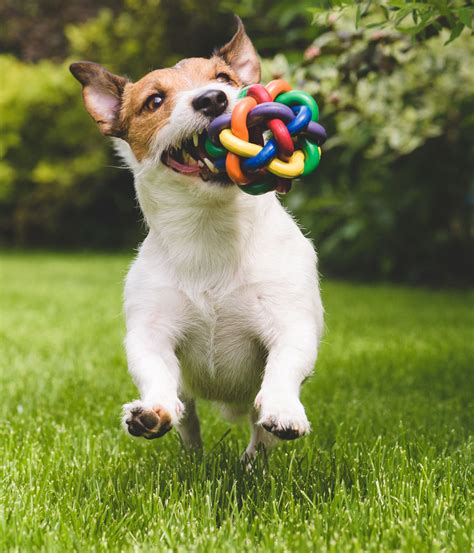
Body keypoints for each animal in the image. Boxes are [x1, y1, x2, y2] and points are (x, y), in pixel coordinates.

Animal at [70, 17, 324, 458]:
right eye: (154, 101)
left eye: (223, 78)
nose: (212, 99)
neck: (210, 229)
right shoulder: (151, 333)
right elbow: (154, 370)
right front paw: (151, 411)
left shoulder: (290, 321)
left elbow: (285, 364)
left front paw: (283, 408)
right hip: (187, 397)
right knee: (187, 415)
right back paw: (189, 452)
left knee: (258, 432)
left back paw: (253, 461)